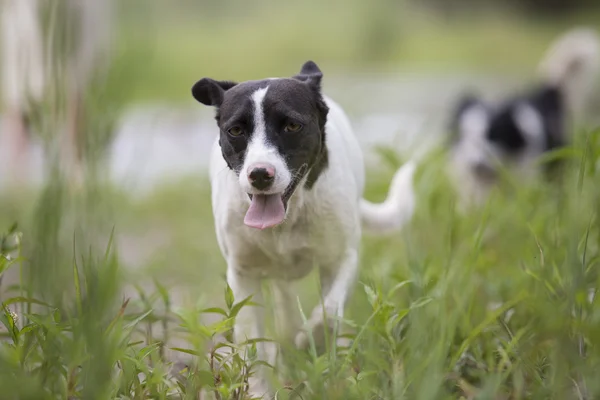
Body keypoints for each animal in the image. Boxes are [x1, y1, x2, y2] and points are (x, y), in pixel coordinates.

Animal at [190, 61, 414, 396]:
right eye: (236, 131)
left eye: (292, 126)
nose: (260, 174)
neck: (289, 218)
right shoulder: (243, 274)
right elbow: (251, 343)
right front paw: (260, 391)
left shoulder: (342, 259)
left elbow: (328, 314)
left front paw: (309, 345)